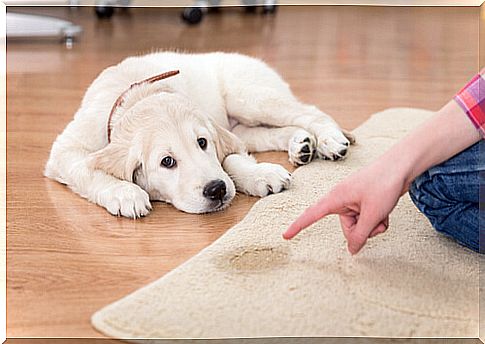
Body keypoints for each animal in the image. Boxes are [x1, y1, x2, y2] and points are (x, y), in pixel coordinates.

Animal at [44, 51, 352, 218]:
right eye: (167, 162)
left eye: (202, 143)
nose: (217, 190)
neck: (138, 94)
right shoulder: (65, 151)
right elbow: (86, 169)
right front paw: (124, 193)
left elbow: (230, 159)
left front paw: (258, 174)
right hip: (244, 121)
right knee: (266, 133)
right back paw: (301, 144)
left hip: (250, 98)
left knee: (309, 112)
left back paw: (330, 140)